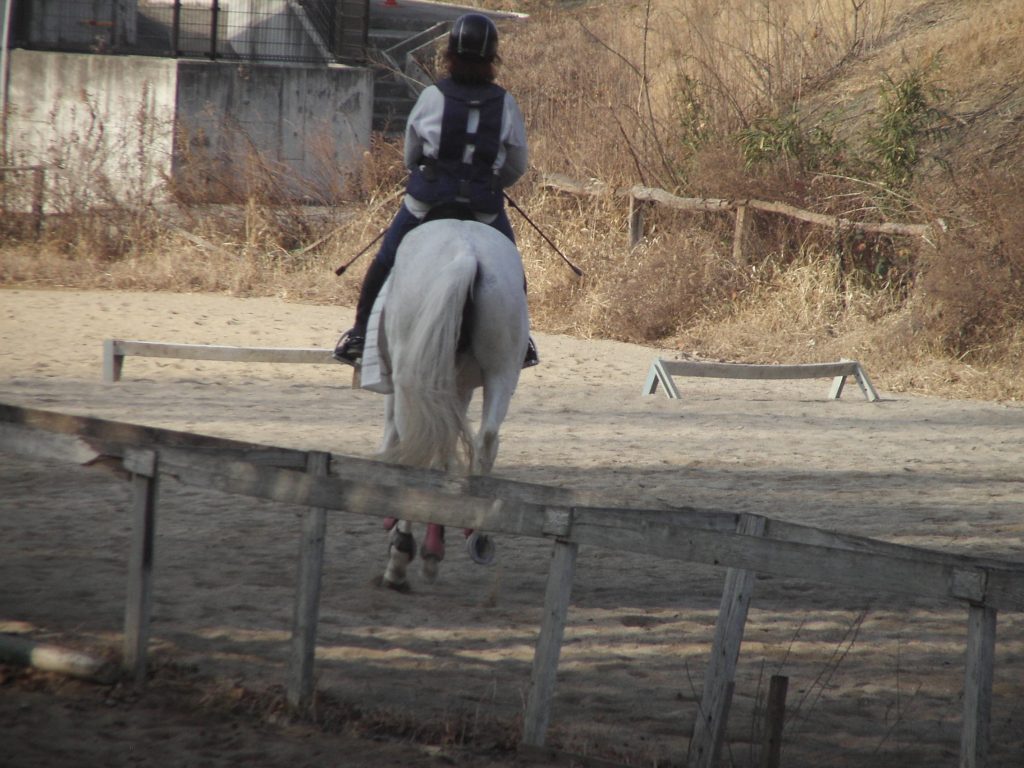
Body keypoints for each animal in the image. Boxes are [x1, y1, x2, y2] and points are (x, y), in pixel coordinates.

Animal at [373, 217, 529, 591]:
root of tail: (467, 254)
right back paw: (479, 535)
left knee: (415, 449)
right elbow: (446, 452)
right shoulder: (456, 387)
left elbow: (402, 439)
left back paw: (399, 557)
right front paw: (434, 549)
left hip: (412, 375)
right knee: (486, 442)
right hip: (500, 371)